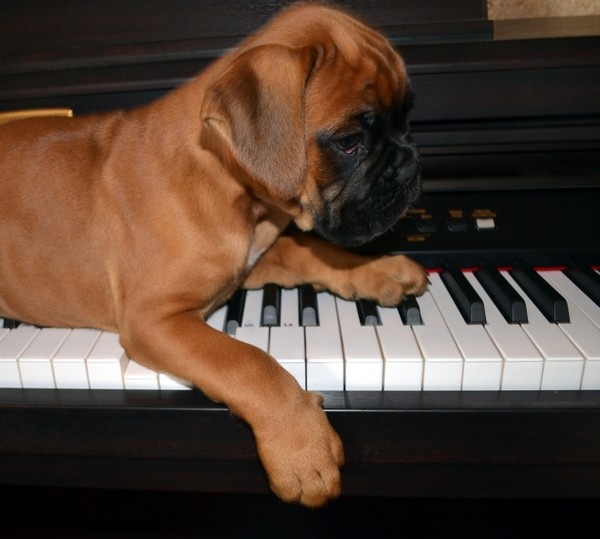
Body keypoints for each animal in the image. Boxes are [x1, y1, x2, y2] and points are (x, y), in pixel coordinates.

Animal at [0, 3, 428, 507]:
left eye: (406, 119)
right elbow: (246, 361)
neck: (229, 183)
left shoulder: (253, 258)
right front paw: (302, 445)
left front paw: (378, 270)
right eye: (348, 142)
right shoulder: (153, 320)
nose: (410, 165)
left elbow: (312, 253)